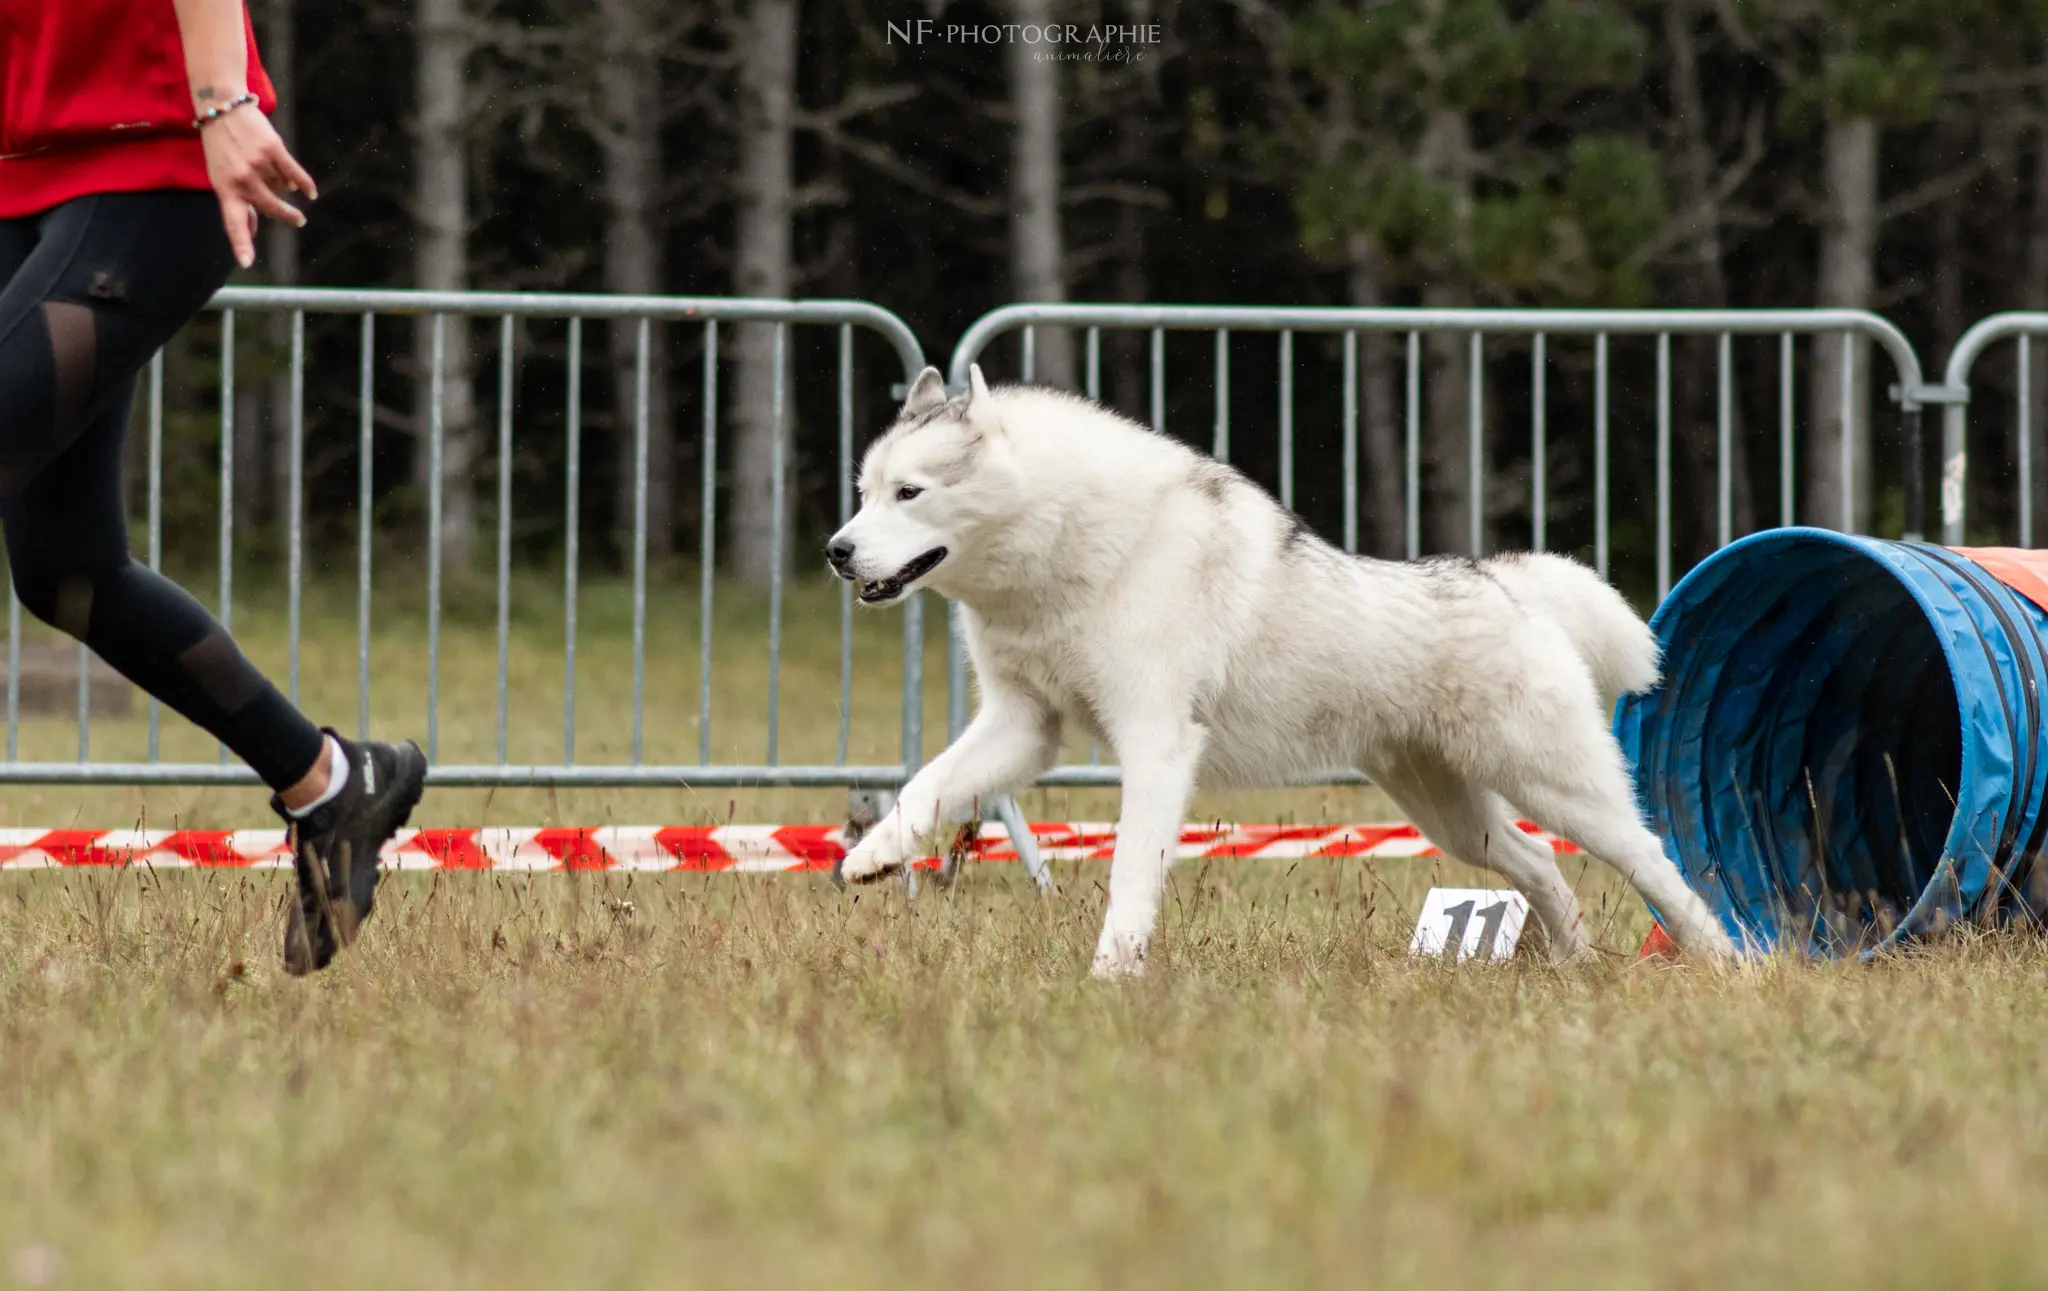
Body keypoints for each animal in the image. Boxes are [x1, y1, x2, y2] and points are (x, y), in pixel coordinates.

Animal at [823, 366, 1736, 979]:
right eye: (863, 492)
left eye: (909, 492)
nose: (837, 551)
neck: (1063, 549)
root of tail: (1502, 579)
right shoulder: (1022, 727)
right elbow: (923, 789)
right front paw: (870, 856)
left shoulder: (1155, 743)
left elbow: (1129, 869)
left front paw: (1112, 975)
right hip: (1452, 816)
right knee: (1542, 864)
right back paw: (1574, 961)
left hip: (1558, 788)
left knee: (1658, 863)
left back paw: (1728, 960)